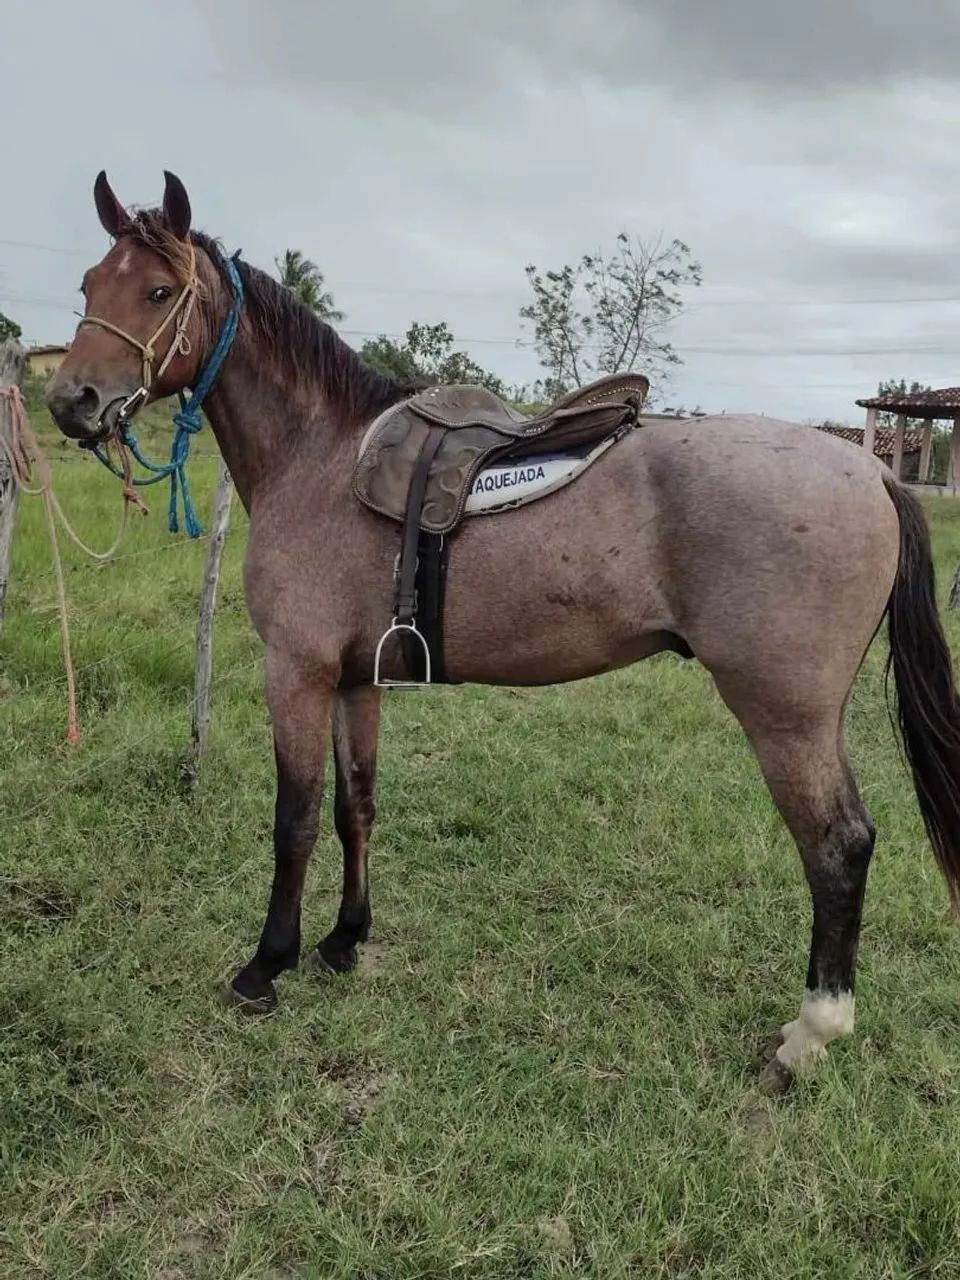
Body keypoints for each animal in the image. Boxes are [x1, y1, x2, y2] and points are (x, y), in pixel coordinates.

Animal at [45, 171, 960, 1092]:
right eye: (87, 284)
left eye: (158, 292)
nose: (70, 401)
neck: (323, 459)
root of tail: (872, 471)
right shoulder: (354, 679)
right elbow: (355, 806)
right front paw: (344, 940)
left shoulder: (296, 673)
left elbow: (293, 820)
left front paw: (267, 966)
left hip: (786, 717)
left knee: (839, 847)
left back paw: (809, 1034)